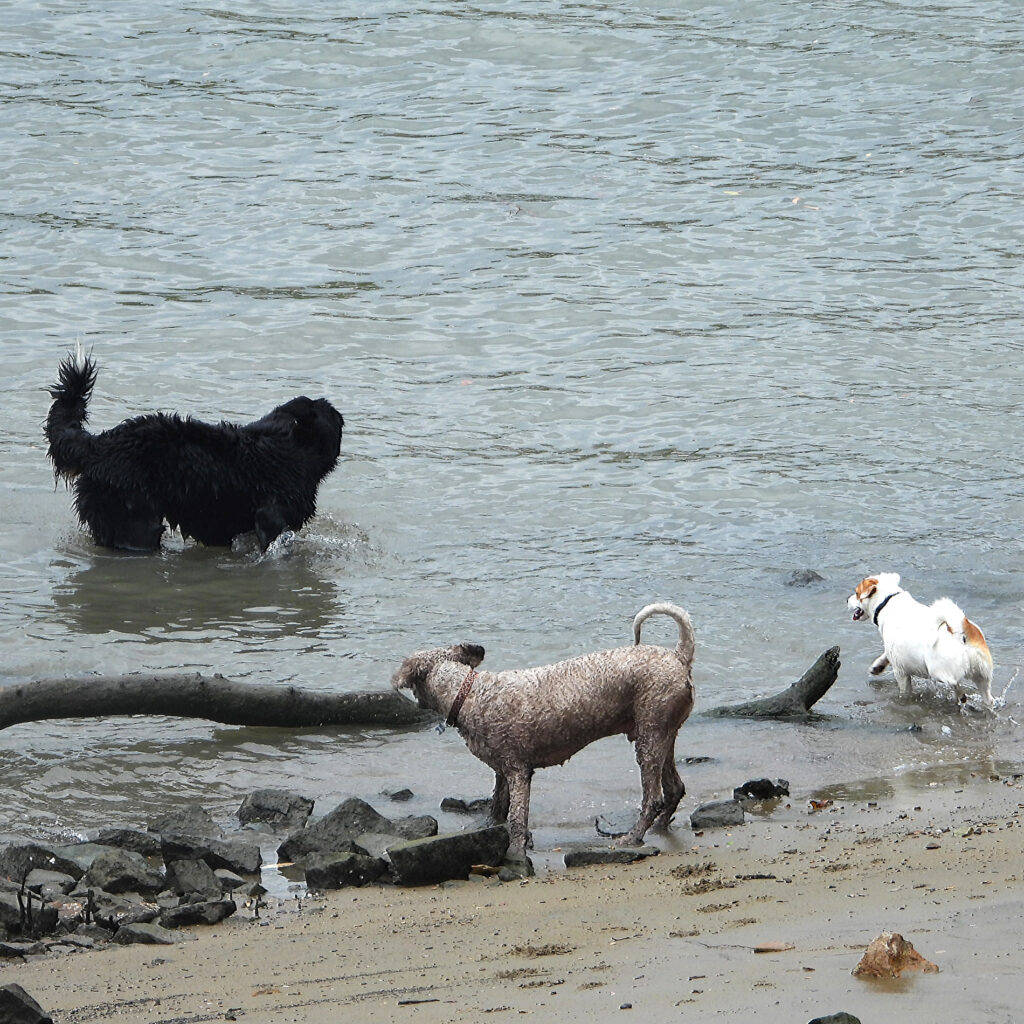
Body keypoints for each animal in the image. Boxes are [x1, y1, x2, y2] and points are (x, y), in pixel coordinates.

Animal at [391, 602, 695, 855]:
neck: (468, 693)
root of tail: (679, 656)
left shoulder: (518, 772)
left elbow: (516, 819)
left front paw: (516, 852)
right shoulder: (502, 773)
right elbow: (497, 809)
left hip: (650, 737)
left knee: (653, 798)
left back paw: (633, 837)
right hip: (662, 736)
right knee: (675, 788)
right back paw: (660, 828)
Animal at [847, 573, 993, 706]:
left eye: (856, 593)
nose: (846, 600)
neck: (886, 602)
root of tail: (960, 633)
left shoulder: (900, 671)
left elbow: (905, 690)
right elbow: (885, 655)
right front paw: (878, 665)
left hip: (938, 672)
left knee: (955, 685)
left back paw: (960, 696)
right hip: (982, 676)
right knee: (987, 698)